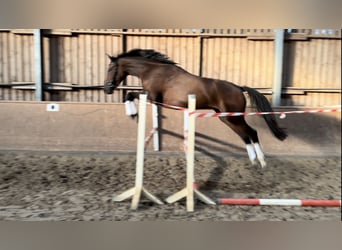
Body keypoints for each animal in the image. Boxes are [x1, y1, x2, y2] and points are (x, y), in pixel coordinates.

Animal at [103, 48, 286, 168]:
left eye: (110, 68)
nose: (107, 89)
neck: (152, 70)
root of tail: (238, 88)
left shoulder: (154, 98)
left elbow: (129, 95)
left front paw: (133, 114)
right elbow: (129, 95)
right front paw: (133, 113)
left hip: (234, 117)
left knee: (251, 132)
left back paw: (261, 161)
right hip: (226, 118)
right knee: (245, 135)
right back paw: (254, 160)